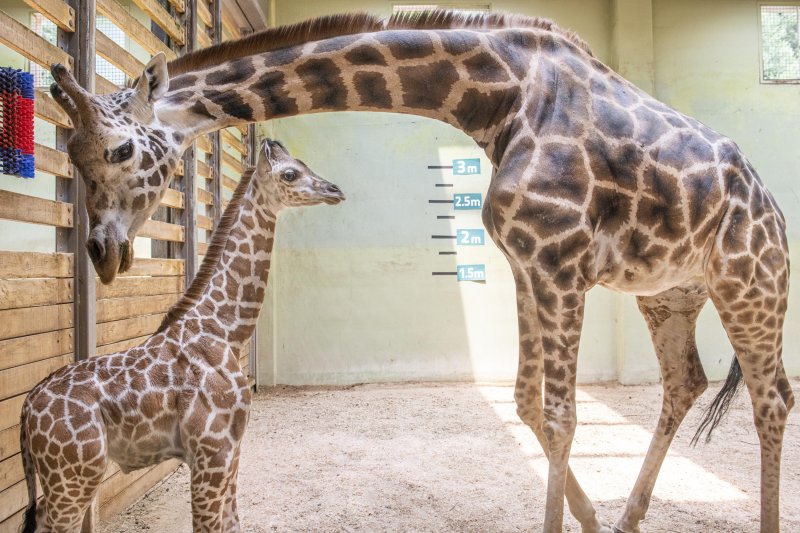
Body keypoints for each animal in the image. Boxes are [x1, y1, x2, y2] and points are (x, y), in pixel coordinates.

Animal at [19, 140, 344, 532]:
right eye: (291, 174)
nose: (335, 190)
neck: (224, 330)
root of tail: (26, 410)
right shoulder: (210, 449)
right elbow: (209, 524)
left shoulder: (232, 447)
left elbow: (231, 522)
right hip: (75, 474)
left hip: (62, 479)